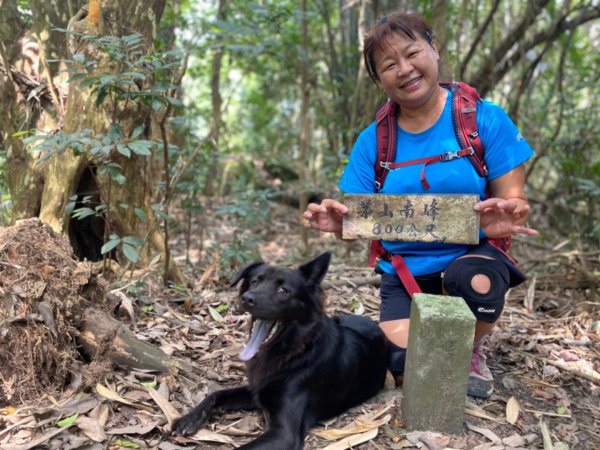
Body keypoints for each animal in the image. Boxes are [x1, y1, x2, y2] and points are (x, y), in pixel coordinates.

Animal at [172, 251, 390, 448]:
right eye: (254, 282)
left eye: (283, 290)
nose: (247, 298)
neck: (294, 352)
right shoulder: (256, 391)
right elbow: (216, 394)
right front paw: (188, 419)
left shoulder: (284, 434)